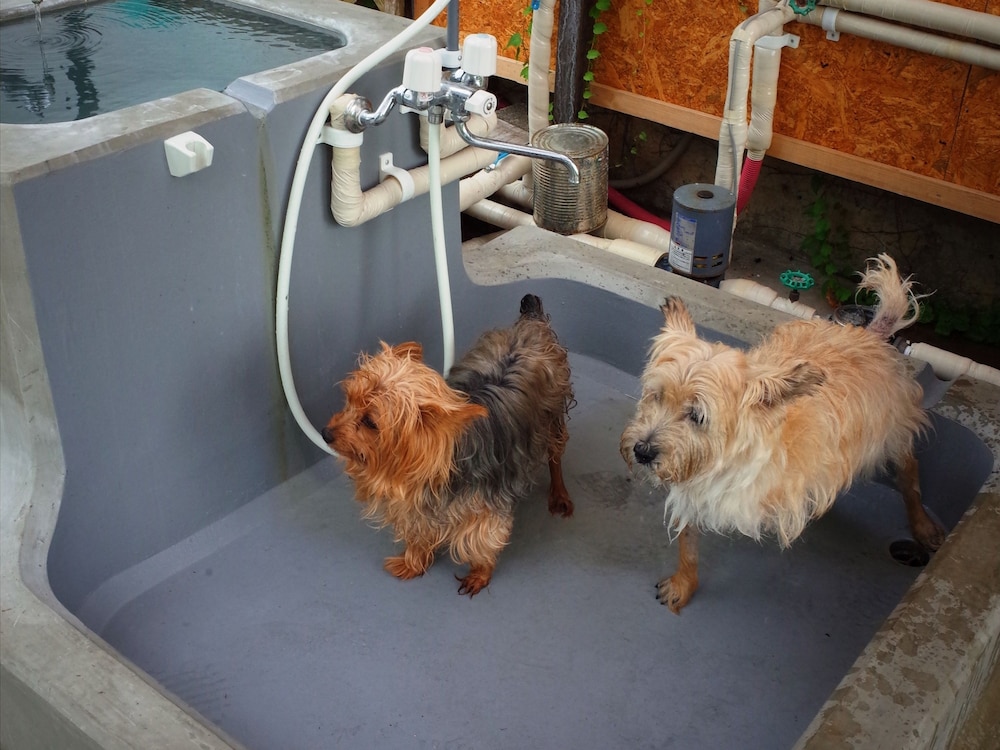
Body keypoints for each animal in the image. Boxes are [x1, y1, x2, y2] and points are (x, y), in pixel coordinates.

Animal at [322, 294, 574, 597]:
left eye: (370, 422)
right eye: (349, 400)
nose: (325, 433)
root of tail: (530, 324)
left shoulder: (485, 507)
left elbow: (482, 539)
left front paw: (479, 573)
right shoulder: (415, 504)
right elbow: (418, 532)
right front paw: (414, 561)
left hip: (552, 417)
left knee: (555, 457)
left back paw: (559, 494)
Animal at [620, 254, 945, 614]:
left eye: (697, 416)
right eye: (657, 396)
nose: (642, 451)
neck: (731, 458)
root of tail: (872, 335)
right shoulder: (693, 488)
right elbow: (688, 544)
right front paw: (684, 583)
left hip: (892, 433)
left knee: (910, 474)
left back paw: (922, 523)